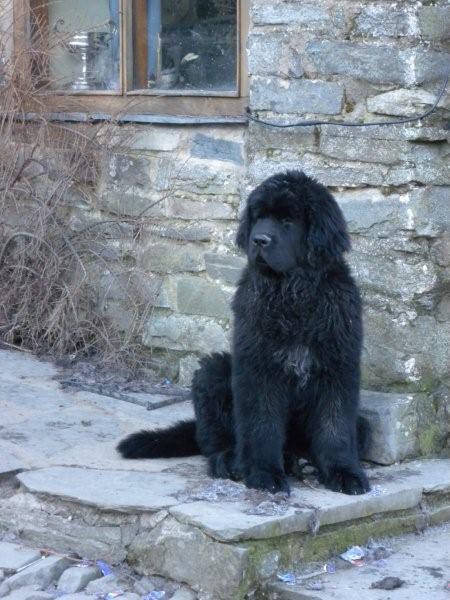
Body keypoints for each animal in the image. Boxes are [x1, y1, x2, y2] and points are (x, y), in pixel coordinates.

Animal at [118, 170, 370, 496]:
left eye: (288, 221)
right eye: (259, 217)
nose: (259, 239)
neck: (293, 293)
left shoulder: (338, 366)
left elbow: (335, 425)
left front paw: (344, 472)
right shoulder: (257, 367)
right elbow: (261, 425)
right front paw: (264, 474)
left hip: (362, 422)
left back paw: (301, 461)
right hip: (213, 373)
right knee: (215, 441)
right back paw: (233, 463)